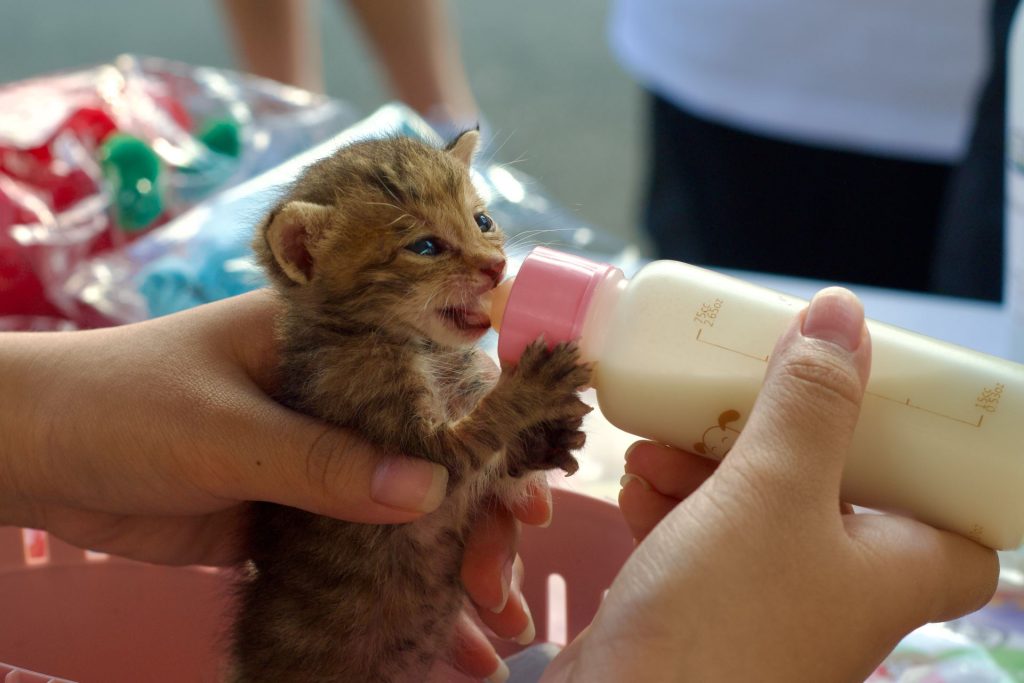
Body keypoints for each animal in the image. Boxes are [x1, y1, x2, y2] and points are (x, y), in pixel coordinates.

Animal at [227, 129, 589, 683]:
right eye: (425, 247)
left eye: (482, 221)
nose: (497, 268)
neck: (421, 346)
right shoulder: (414, 445)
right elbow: (476, 435)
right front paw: (531, 386)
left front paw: (544, 443)